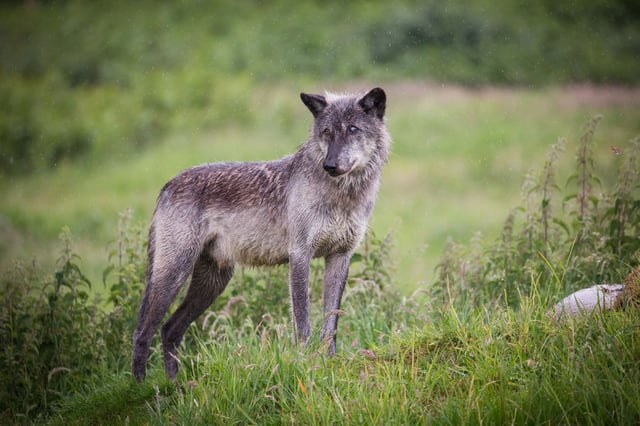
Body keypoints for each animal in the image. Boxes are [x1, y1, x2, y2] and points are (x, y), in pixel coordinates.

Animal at [132, 87, 390, 381]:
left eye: (353, 129)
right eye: (327, 132)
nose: (330, 165)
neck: (343, 195)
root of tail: (167, 184)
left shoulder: (340, 257)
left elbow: (331, 324)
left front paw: (330, 365)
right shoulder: (300, 255)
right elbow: (303, 323)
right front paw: (306, 365)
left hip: (212, 282)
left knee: (169, 330)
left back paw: (176, 385)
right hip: (175, 274)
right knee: (143, 332)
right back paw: (142, 387)